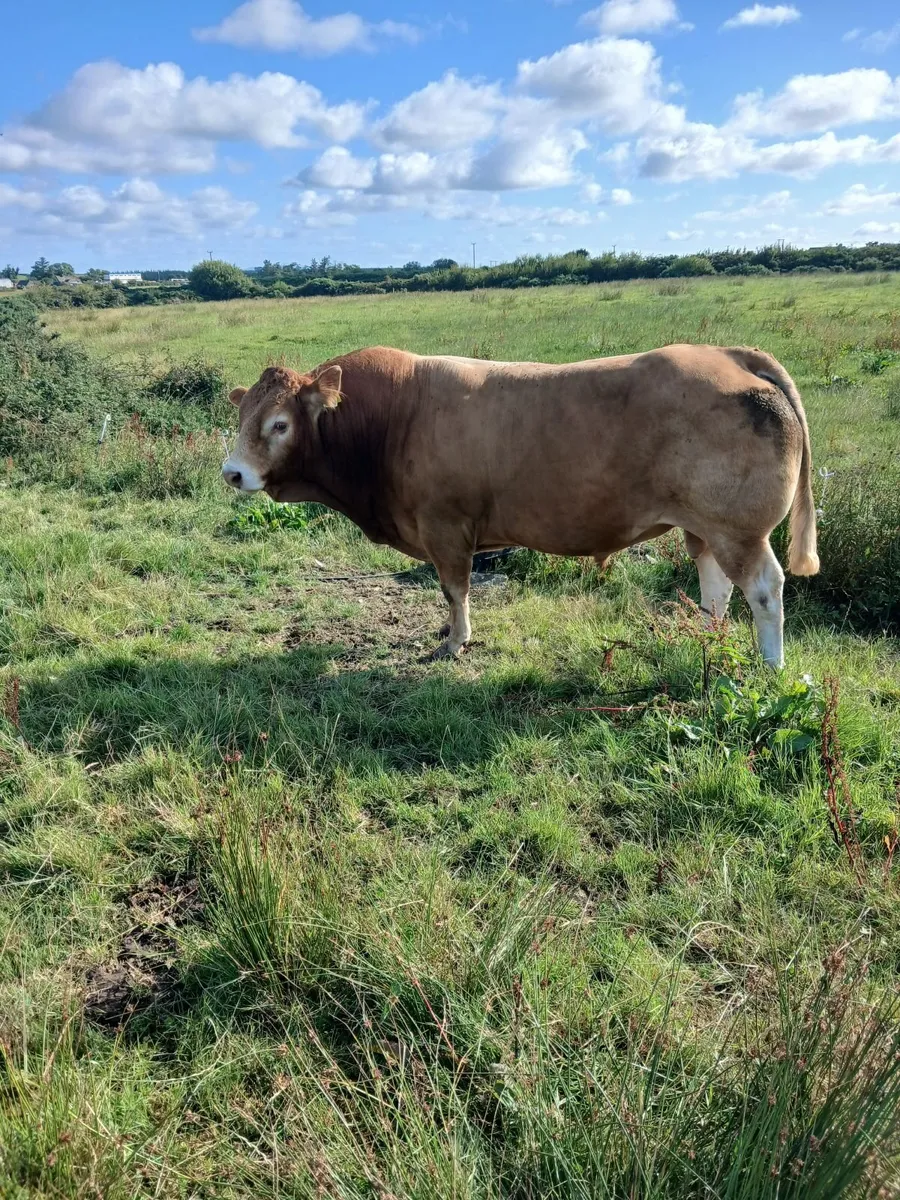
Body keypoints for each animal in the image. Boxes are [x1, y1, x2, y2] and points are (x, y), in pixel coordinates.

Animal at [222, 345, 819, 668]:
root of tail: (726, 354)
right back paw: (708, 641)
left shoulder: (445, 525)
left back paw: (769, 665)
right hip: (704, 527)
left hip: (739, 530)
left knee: (763, 589)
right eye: (243, 418)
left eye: (279, 424)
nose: (233, 472)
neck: (389, 421)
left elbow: (454, 589)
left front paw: (455, 641)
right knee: (716, 586)